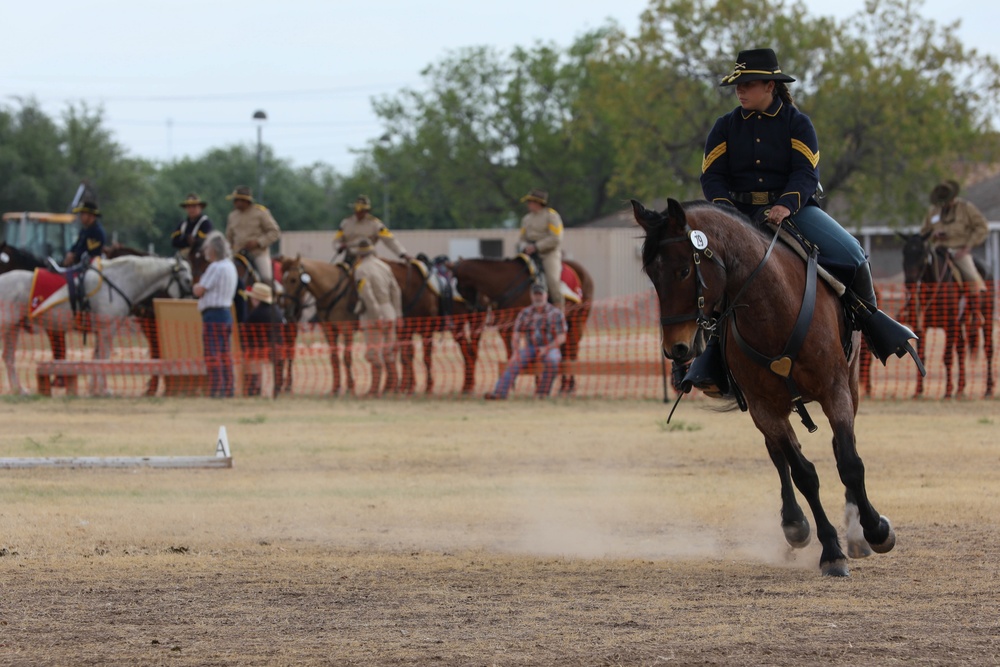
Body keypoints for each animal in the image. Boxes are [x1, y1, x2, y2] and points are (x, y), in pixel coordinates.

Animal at [0, 253, 191, 394]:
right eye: (187, 280)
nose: (191, 299)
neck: (119, 281)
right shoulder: (107, 330)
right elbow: (104, 358)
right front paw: (104, 389)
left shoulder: (101, 331)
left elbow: (97, 357)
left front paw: (93, 388)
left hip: (14, 328)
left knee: (9, 357)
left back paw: (19, 390)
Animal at [448, 256, 592, 392]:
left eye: (458, 286)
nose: (474, 309)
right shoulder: (507, 326)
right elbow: (512, 351)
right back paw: (565, 385)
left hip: (578, 319)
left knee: (572, 348)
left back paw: (568, 386)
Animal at [632, 200, 900, 580]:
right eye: (653, 276)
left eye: (684, 270)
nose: (676, 348)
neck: (772, 310)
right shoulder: (764, 407)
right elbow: (803, 474)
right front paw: (830, 550)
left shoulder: (835, 390)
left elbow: (849, 463)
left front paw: (875, 530)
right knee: (780, 455)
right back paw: (795, 525)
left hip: (849, 384)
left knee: (840, 446)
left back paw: (855, 532)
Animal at [900, 235, 992, 400]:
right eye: (904, 252)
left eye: (922, 254)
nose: (910, 282)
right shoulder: (921, 326)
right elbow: (920, 355)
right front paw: (918, 391)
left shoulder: (950, 325)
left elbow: (947, 357)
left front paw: (948, 391)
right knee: (961, 350)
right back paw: (961, 389)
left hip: (986, 318)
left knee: (988, 349)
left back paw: (988, 389)